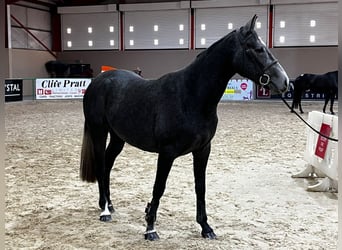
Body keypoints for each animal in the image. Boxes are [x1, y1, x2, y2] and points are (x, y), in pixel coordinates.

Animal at [80, 15, 288, 240]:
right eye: (257, 49)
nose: (284, 82)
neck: (191, 96)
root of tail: (97, 81)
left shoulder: (203, 150)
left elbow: (200, 187)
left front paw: (206, 227)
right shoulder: (167, 153)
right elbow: (159, 187)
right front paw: (150, 228)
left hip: (118, 138)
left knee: (108, 165)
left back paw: (110, 204)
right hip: (99, 132)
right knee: (101, 165)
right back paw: (104, 211)